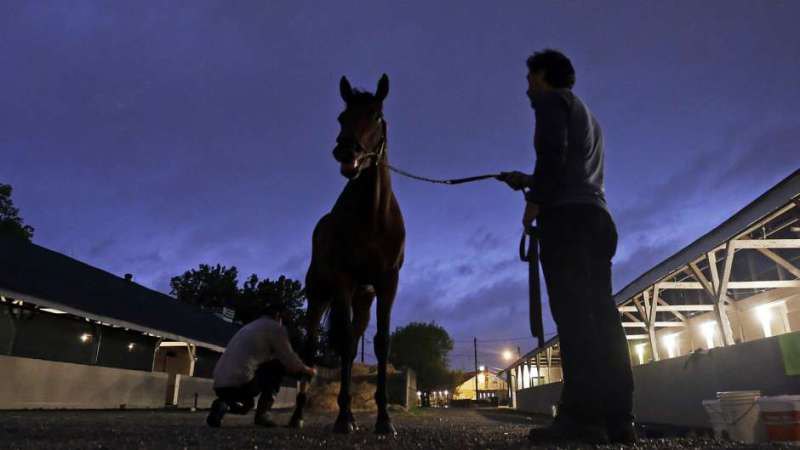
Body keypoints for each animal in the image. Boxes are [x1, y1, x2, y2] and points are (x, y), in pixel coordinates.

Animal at [288, 74, 406, 436]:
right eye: (342, 117)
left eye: (376, 116)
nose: (346, 150)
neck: (373, 216)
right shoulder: (343, 280)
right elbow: (342, 345)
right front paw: (343, 417)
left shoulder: (387, 284)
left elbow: (380, 344)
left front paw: (384, 419)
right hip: (319, 297)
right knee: (311, 348)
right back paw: (297, 415)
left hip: (362, 300)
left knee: (353, 340)